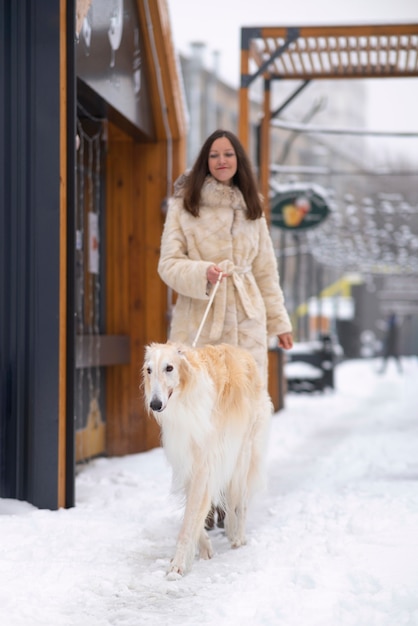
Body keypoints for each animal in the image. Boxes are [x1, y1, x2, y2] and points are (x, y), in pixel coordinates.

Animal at [142, 342, 272, 576]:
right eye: (149, 370)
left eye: (169, 368)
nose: (155, 404)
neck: (185, 400)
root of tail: (243, 353)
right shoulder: (186, 461)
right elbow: (193, 512)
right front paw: (204, 548)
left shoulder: (204, 464)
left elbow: (190, 519)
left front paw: (177, 565)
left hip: (242, 454)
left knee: (240, 501)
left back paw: (238, 537)